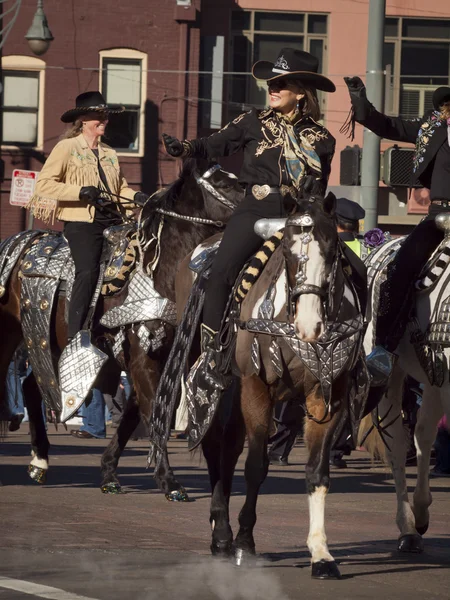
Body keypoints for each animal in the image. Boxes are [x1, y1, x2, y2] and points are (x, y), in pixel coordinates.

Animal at [0, 158, 243, 496]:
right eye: (223, 184)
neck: (162, 272)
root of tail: (23, 240)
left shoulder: (151, 361)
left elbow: (132, 418)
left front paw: (109, 474)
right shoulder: (143, 358)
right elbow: (154, 415)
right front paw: (169, 481)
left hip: (48, 345)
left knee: (32, 388)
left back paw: (40, 462)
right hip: (14, 334)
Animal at [175, 192, 366, 576]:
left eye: (332, 248)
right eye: (289, 254)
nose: (310, 326)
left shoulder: (328, 396)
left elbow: (317, 472)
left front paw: (321, 553)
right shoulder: (255, 387)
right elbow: (255, 467)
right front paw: (244, 543)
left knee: (228, 448)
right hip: (220, 387)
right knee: (216, 446)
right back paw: (222, 534)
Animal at [362, 230, 450, 552]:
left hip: (435, 382)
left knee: (423, 435)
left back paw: (421, 511)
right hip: (391, 378)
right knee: (398, 445)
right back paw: (408, 528)